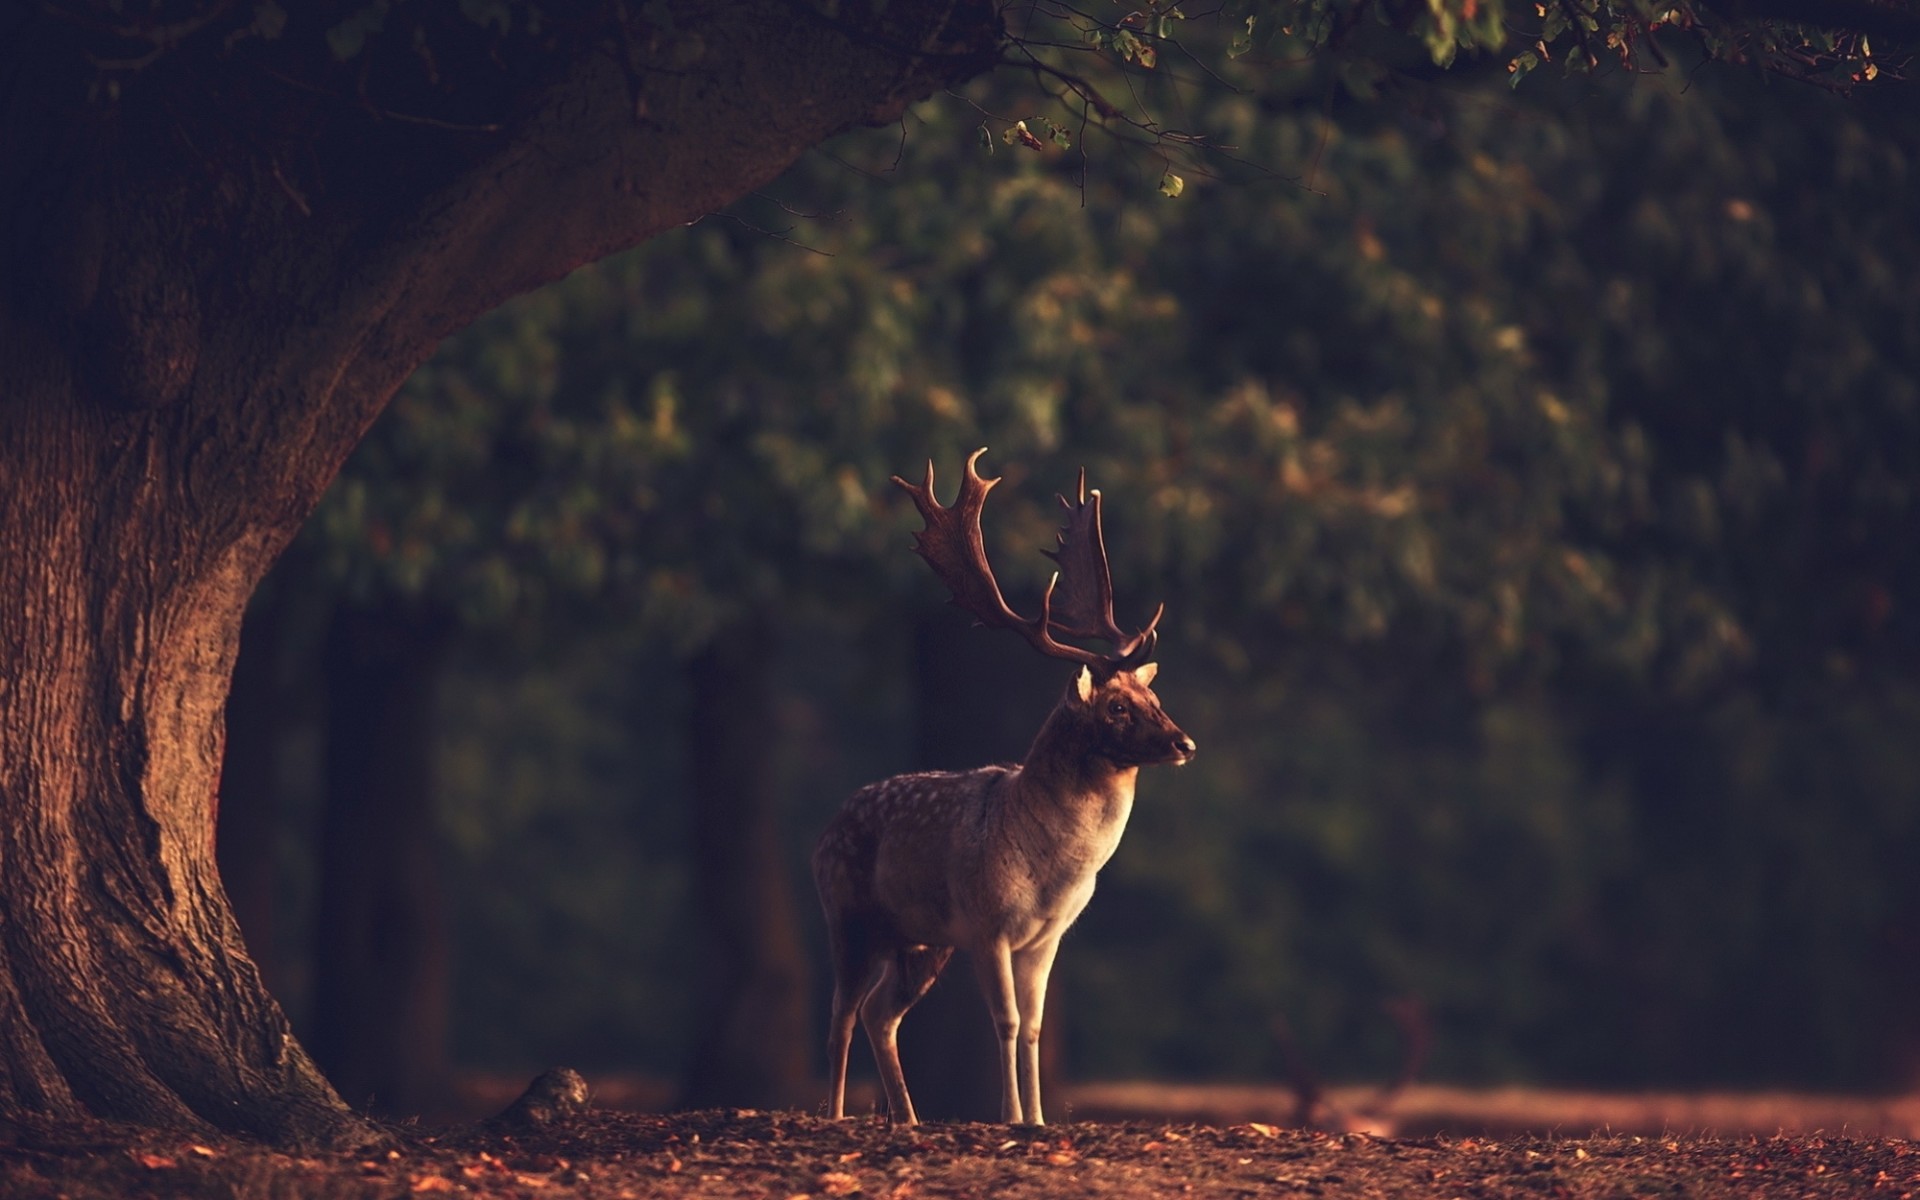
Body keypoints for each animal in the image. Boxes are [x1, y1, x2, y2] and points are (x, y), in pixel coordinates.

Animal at [814, 447, 1198, 1121]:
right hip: (849, 914)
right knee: (841, 1015)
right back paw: (835, 1116)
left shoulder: (1046, 938)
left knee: (881, 1015)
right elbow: (1008, 1022)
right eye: (1117, 708)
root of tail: (822, 834)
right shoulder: (987, 923)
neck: (1053, 873)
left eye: (1154, 697)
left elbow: (1037, 1027)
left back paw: (908, 1119)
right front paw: (1012, 1118)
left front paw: (1039, 1119)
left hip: (920, 941)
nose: (1185, 743)